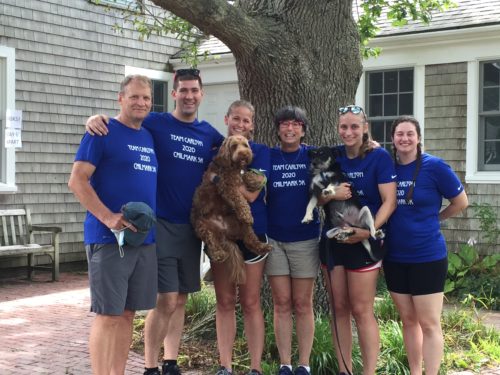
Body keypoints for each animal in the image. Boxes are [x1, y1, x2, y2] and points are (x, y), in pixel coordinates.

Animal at [191, 135, 272, 284]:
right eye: (234, 146)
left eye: (245, 145)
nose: (244, 154)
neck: (233, 166)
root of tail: (224, 233)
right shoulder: (226, 185)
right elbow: (239, 199)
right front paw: (246, 213)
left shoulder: (239, 175)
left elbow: (247, 174)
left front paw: (257, 180)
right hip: (203, 227)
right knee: (212, 242)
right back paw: (219, 254)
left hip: (240, 224)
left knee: (250, 240)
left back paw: (263, 247)